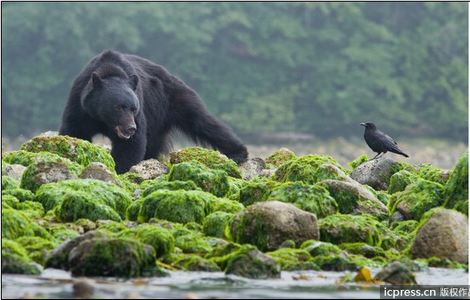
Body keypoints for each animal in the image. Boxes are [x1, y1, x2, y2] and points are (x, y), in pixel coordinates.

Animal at [60, 50, 248, 173]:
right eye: (118, 107)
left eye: (133, 108)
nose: (130, 128)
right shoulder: (80, 105)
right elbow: (74, 130)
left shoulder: (140, 109)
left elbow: (131, 145)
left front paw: (120, 168)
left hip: (175, 100)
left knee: (203, 122)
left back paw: (238, 153)